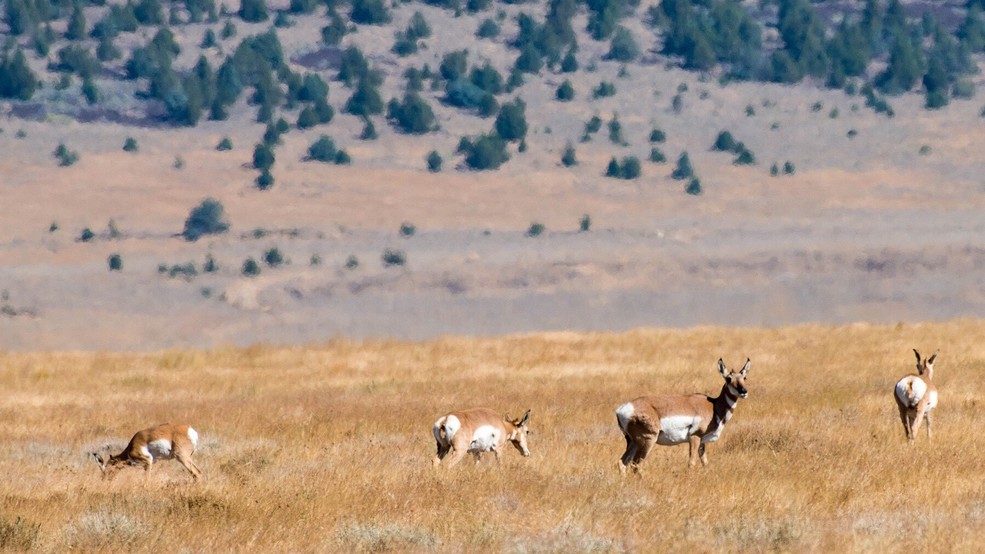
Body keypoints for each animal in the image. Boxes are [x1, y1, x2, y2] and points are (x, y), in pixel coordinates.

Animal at [612, 358, 748, 470]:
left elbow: (705, 462)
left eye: (744, 378)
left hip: (633, 442)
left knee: (622, 462)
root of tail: (622, 409)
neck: (713, 406)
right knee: (636, 464)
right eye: (728, 379)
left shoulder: (702, 442)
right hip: (647, 440)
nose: (744, 392)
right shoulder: (695, 437)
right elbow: (691, 463)